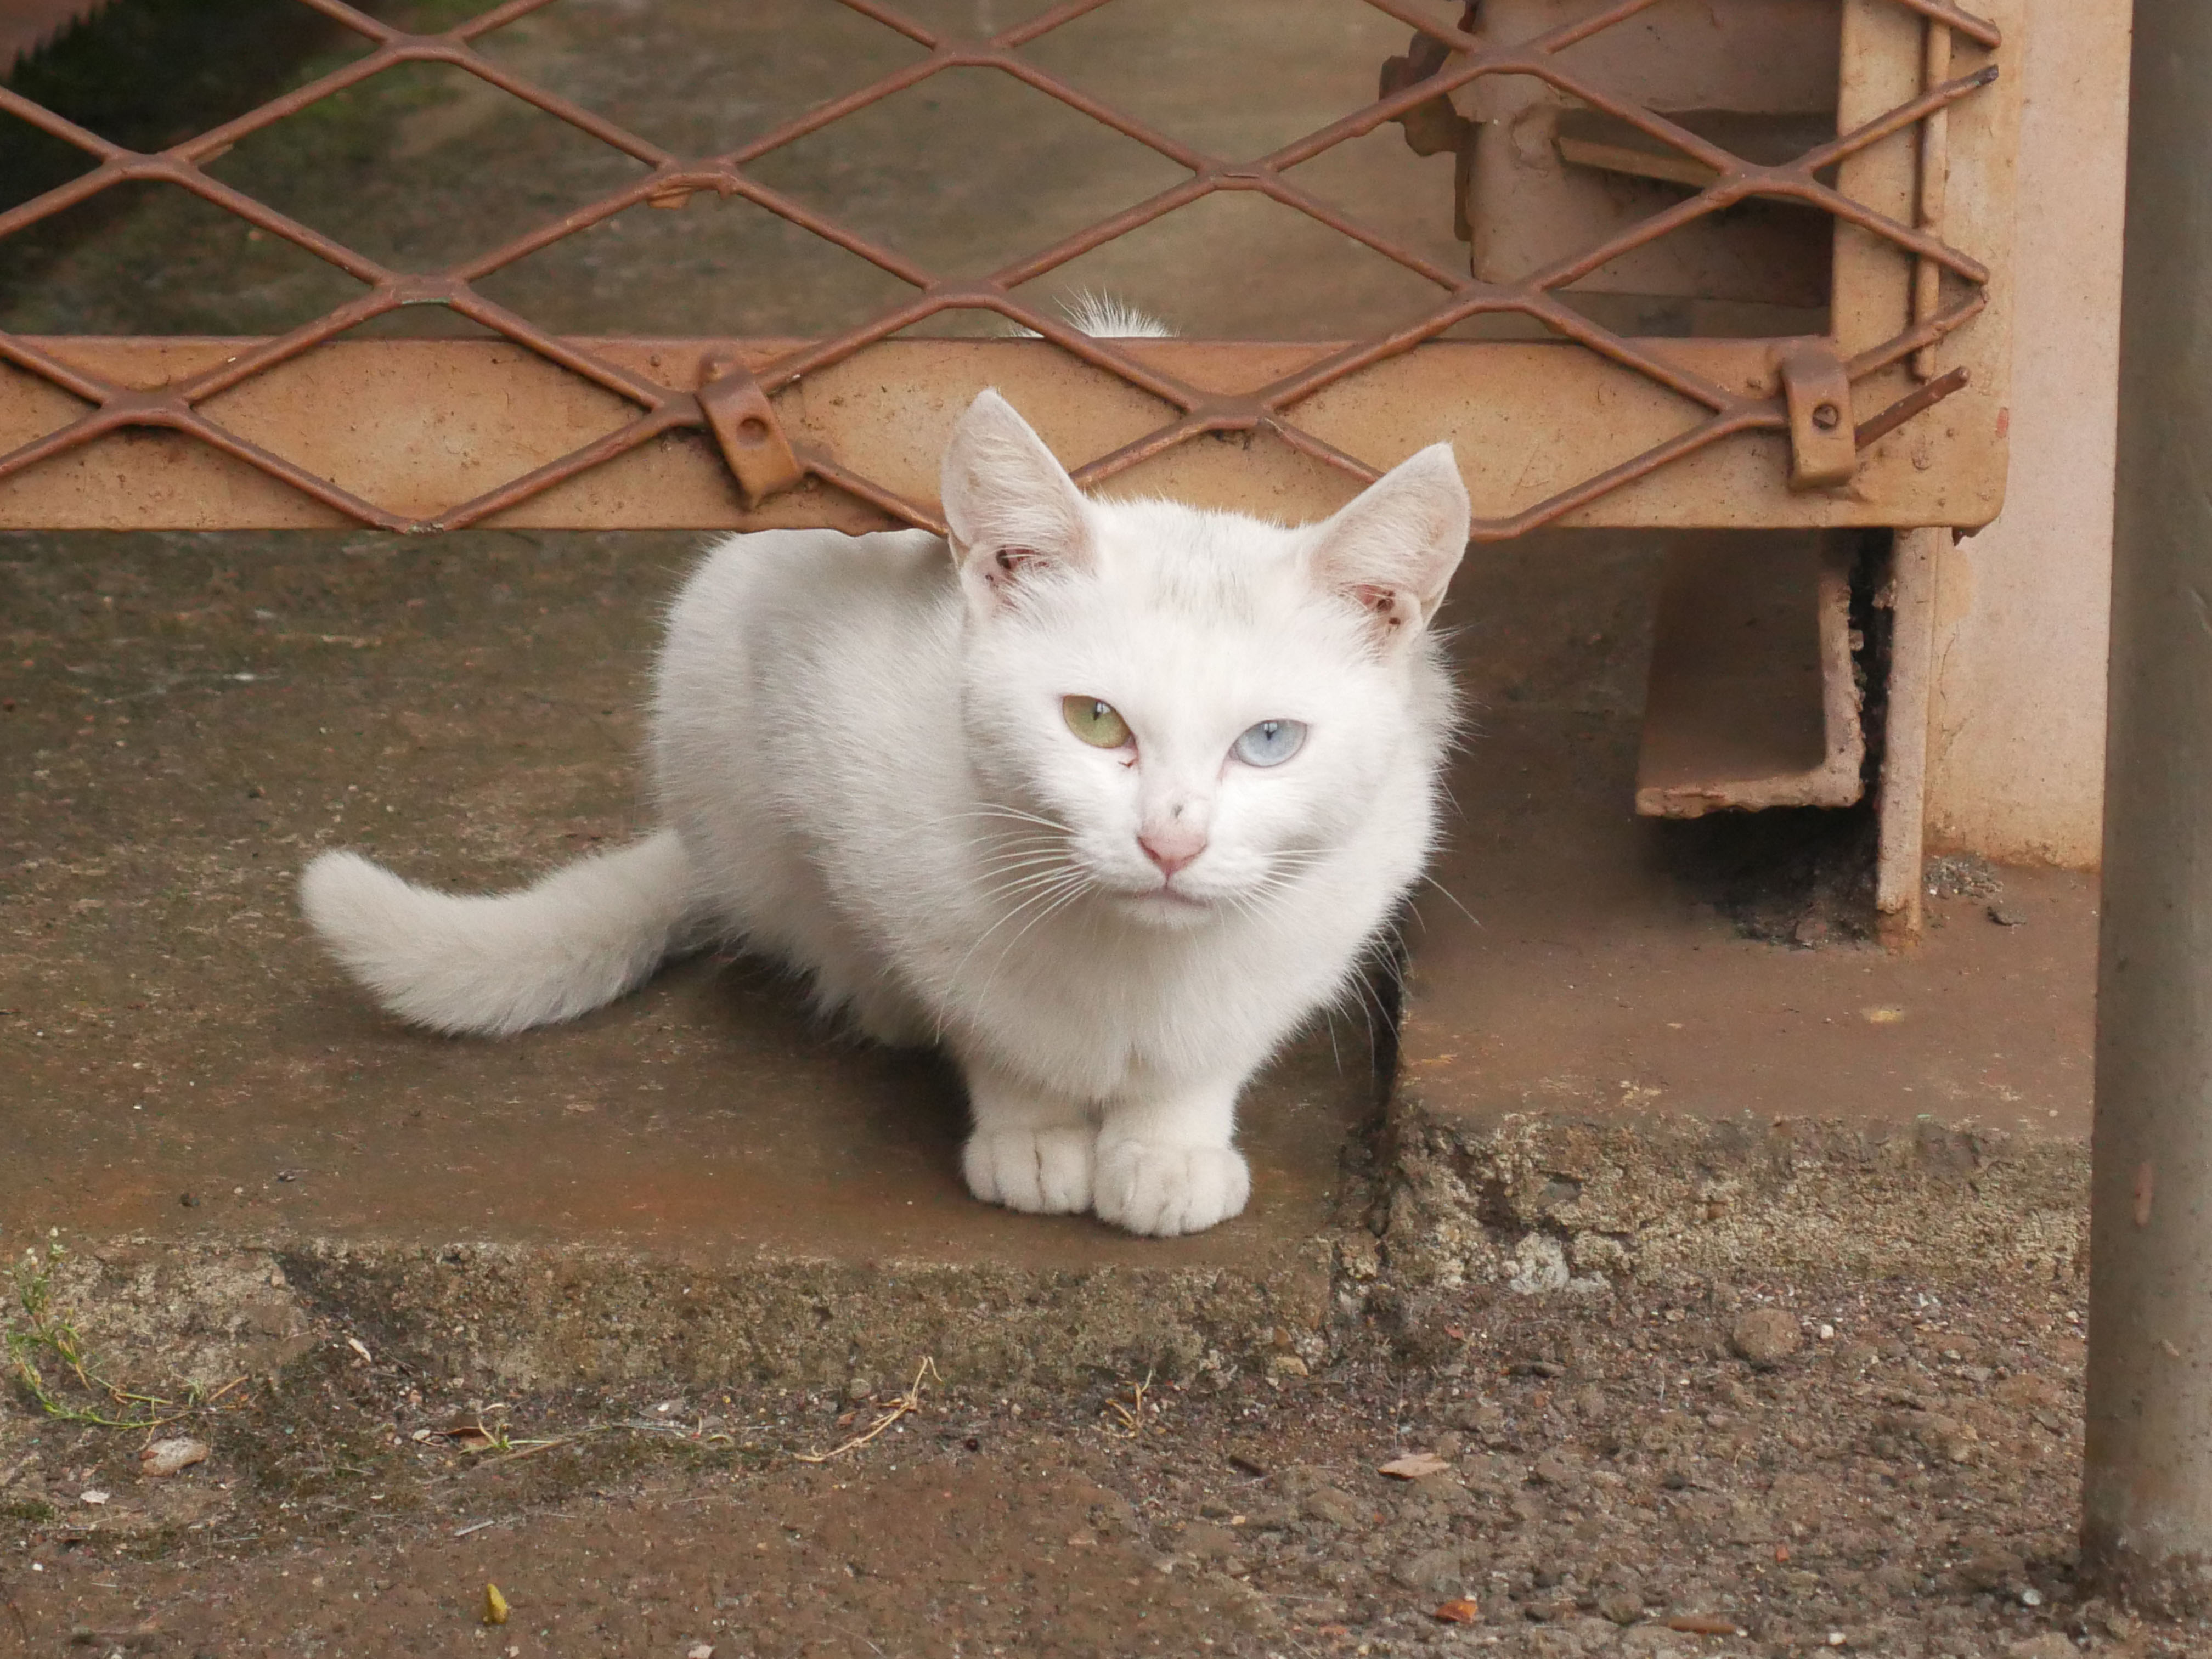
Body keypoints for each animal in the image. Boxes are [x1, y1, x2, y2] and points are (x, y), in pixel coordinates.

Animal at [294, 396, 1469, 1238]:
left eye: (1269, 740)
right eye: (1093, 720)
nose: (1169, 841)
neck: (1128, 954)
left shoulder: (1355, 880)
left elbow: (1210, 1044)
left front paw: (1164, 1144)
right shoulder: (841, 755)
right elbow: (985, 1012)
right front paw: (1032, 1124)